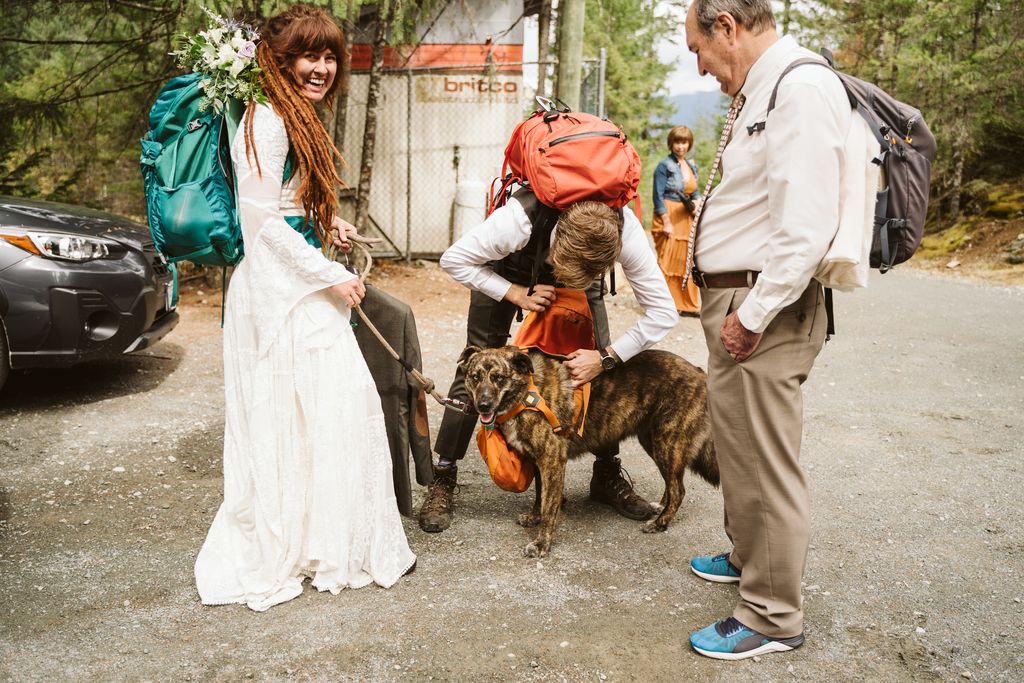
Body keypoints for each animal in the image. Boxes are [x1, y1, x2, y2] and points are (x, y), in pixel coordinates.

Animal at [460, 344, 716, 557]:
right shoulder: (540, 462)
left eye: (498, 378)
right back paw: (660, 508)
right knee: (672, 485)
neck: (527, 393)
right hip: (653, 441)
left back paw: (660, 523)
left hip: (666, 442)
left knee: (679, 489)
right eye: (475, 377)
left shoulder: (552, 460)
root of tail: (699, 372)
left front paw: (542, 544)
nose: (483, 406)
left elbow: (548, 506)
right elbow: (540, 497)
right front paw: (534, 517)